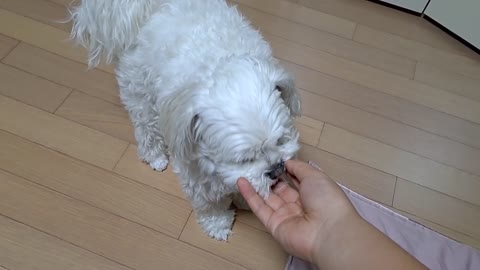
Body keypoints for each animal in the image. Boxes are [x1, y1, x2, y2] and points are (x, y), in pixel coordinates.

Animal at [69, 0, 302, 240]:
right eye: (245, 159)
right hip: (139, 91)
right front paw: (218, 223)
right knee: (146, 127)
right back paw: (155, 156)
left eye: (281, 140)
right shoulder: (195, 166)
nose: (276, 170)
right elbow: (208, 201)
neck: (219, 64)